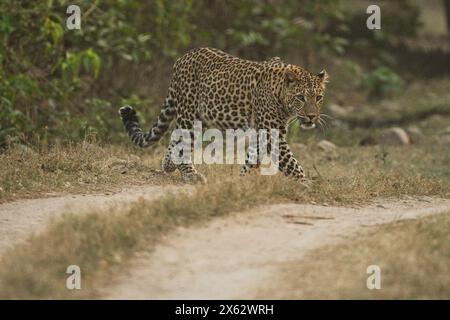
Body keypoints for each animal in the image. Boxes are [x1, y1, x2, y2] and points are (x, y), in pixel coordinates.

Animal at [119, 46, 330, 184]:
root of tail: (182, 58)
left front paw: (242, 180)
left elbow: (252, 158)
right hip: (189, 114)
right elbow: (292, 165)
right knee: (183, 143)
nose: (312, 116)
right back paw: (191, 175)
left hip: (201, 116)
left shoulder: (263, 133)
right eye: (301, 97)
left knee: (175, 138)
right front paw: (308, 186)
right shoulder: (272, 134)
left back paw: (168, 164)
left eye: (319, 97)